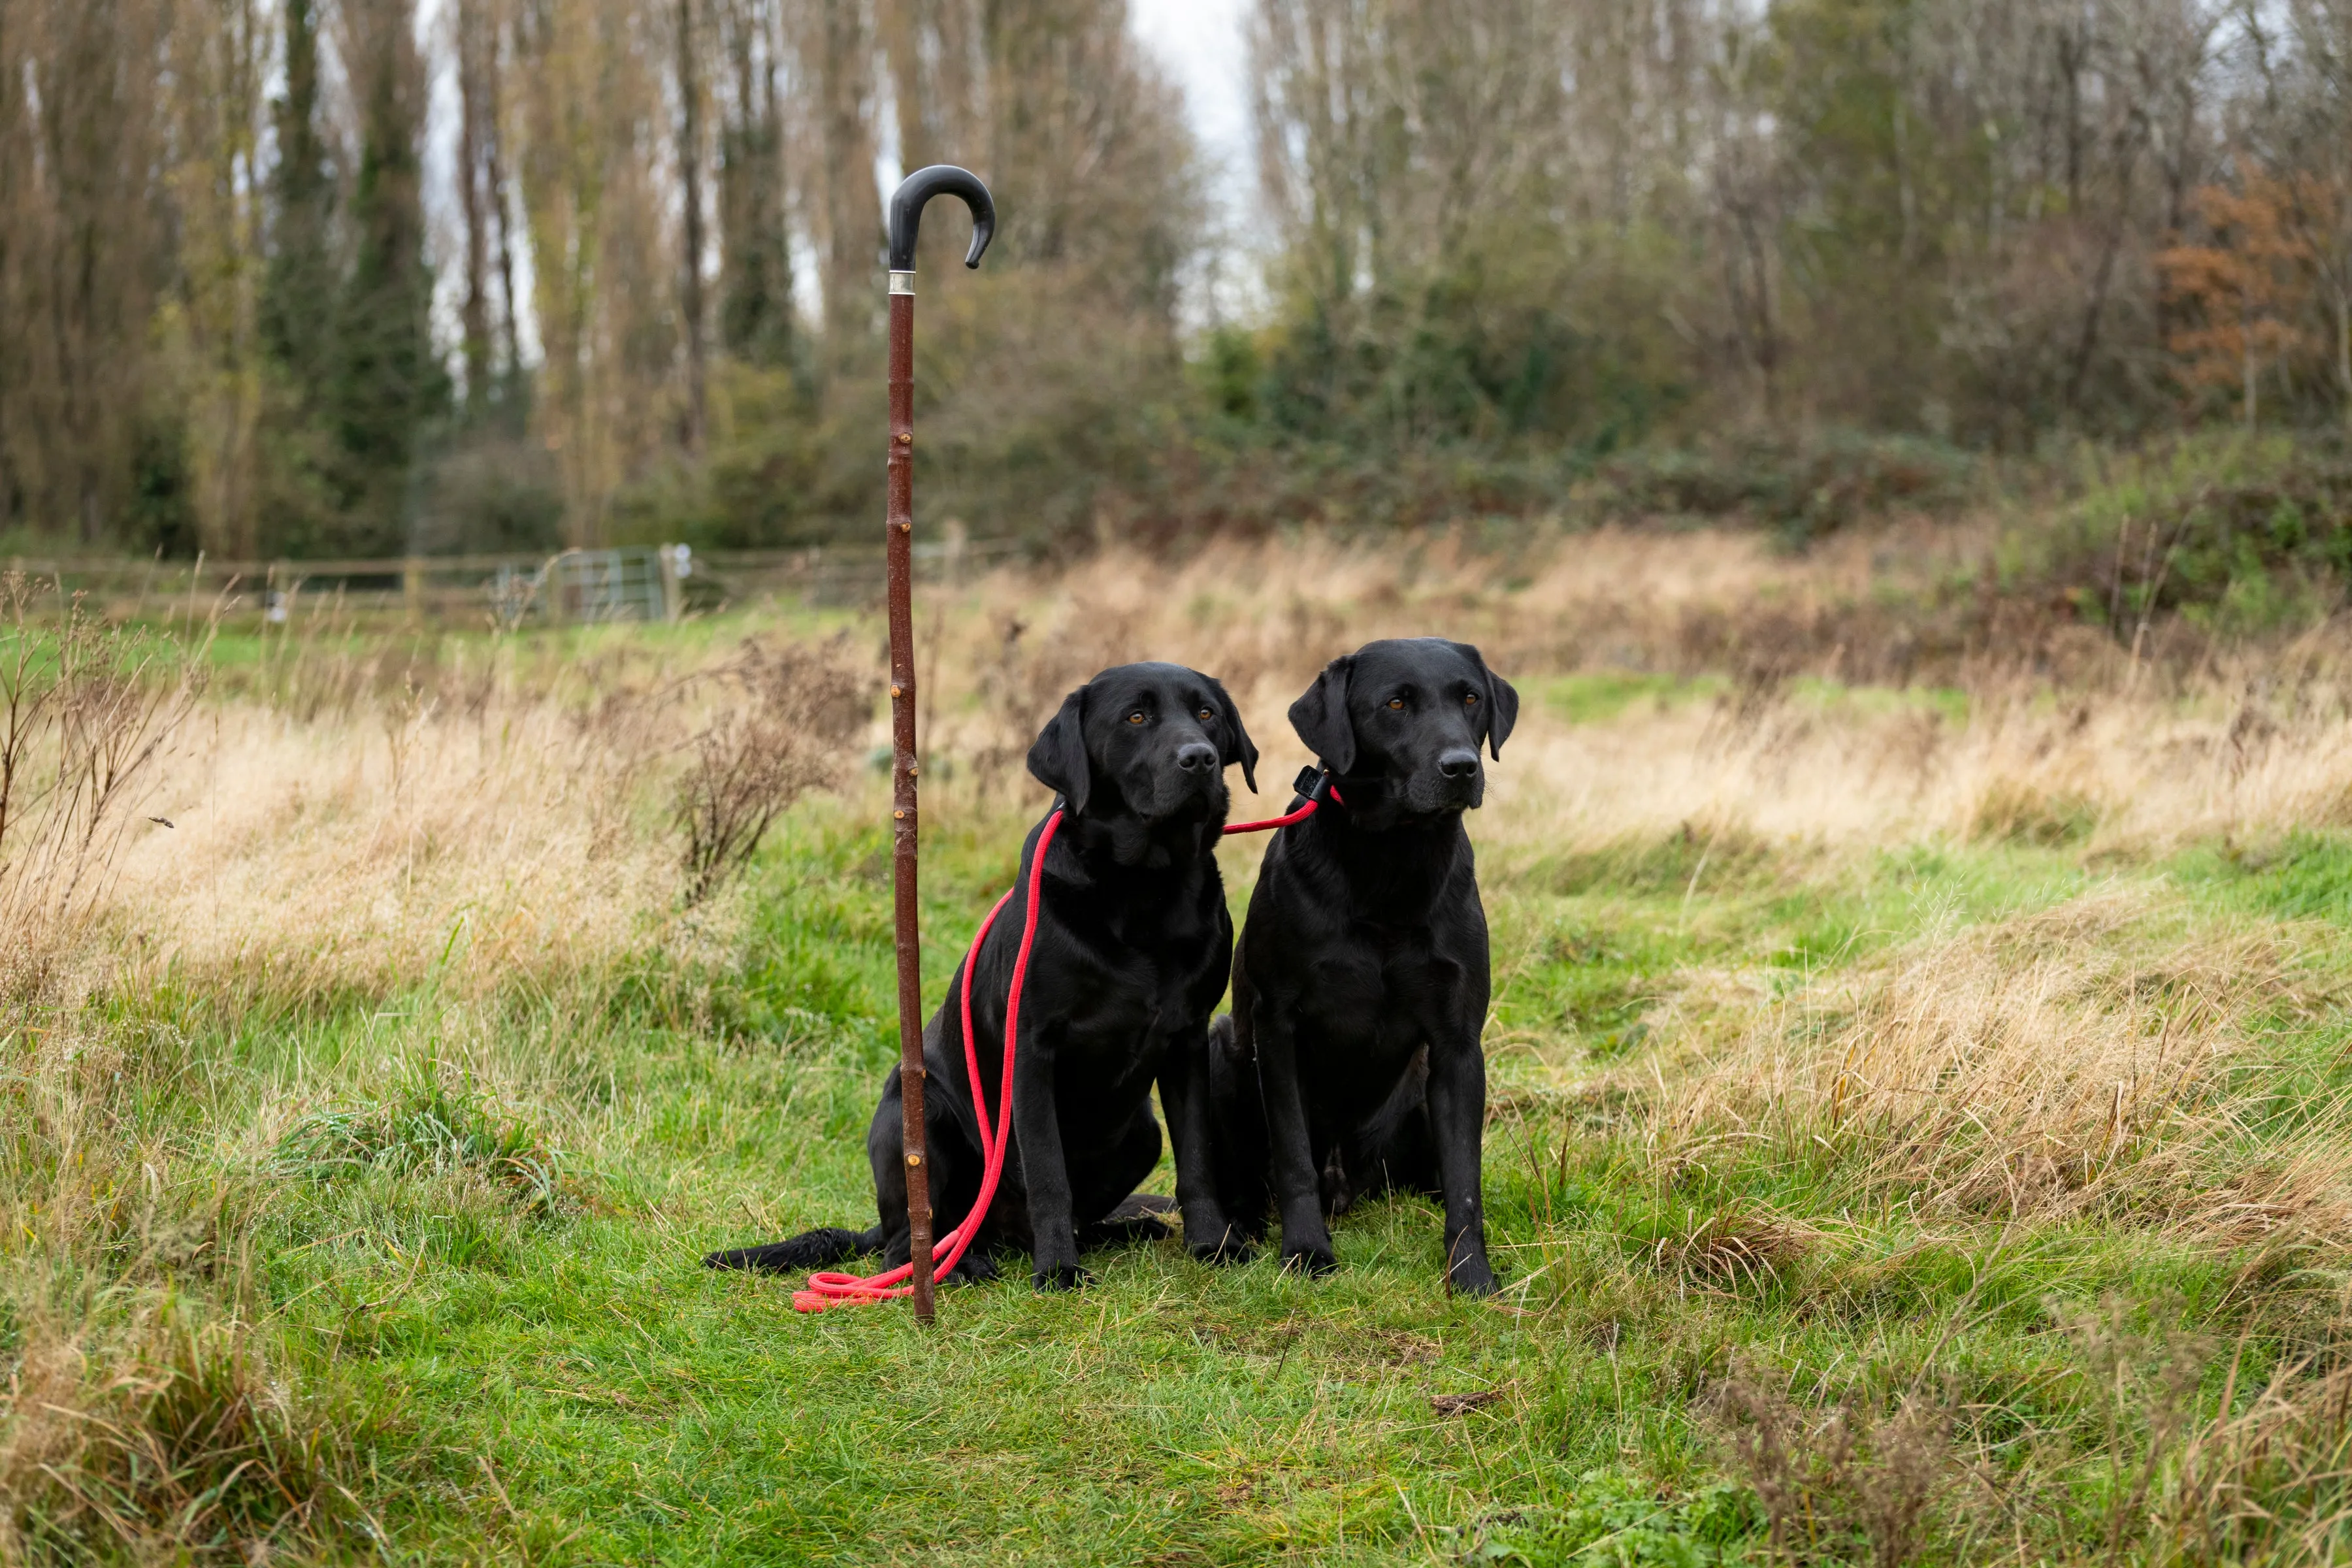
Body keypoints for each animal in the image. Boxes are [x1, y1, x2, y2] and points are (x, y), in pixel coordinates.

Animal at [700, 658, 1260, 1288]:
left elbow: (1198, 1160)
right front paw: (1059, 1273)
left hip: (1142, 1134)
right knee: (911, 1243)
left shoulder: (1187, 1039)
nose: (1200, 758)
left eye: (1206, 713)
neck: (1142, 892)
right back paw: (967, 1261)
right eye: (1136, 717)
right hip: (916, 1118)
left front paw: (1214, 1245)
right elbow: (1048, 1173)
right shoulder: (1033, 1051)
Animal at [1162, 639, 1524, 1298]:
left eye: (1470, 698)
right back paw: (1245, 1226)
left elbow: (1467, 1181)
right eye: (1396, 703)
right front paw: (1306, 1251)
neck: (1392, 864)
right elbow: (1293, 1156)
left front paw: (1472, 1273)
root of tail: (1350, 1186)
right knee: (1253, 1178)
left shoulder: (1458, 1045)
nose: (1462, 767)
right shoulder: (1278, 1026)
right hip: (1224, 1047)